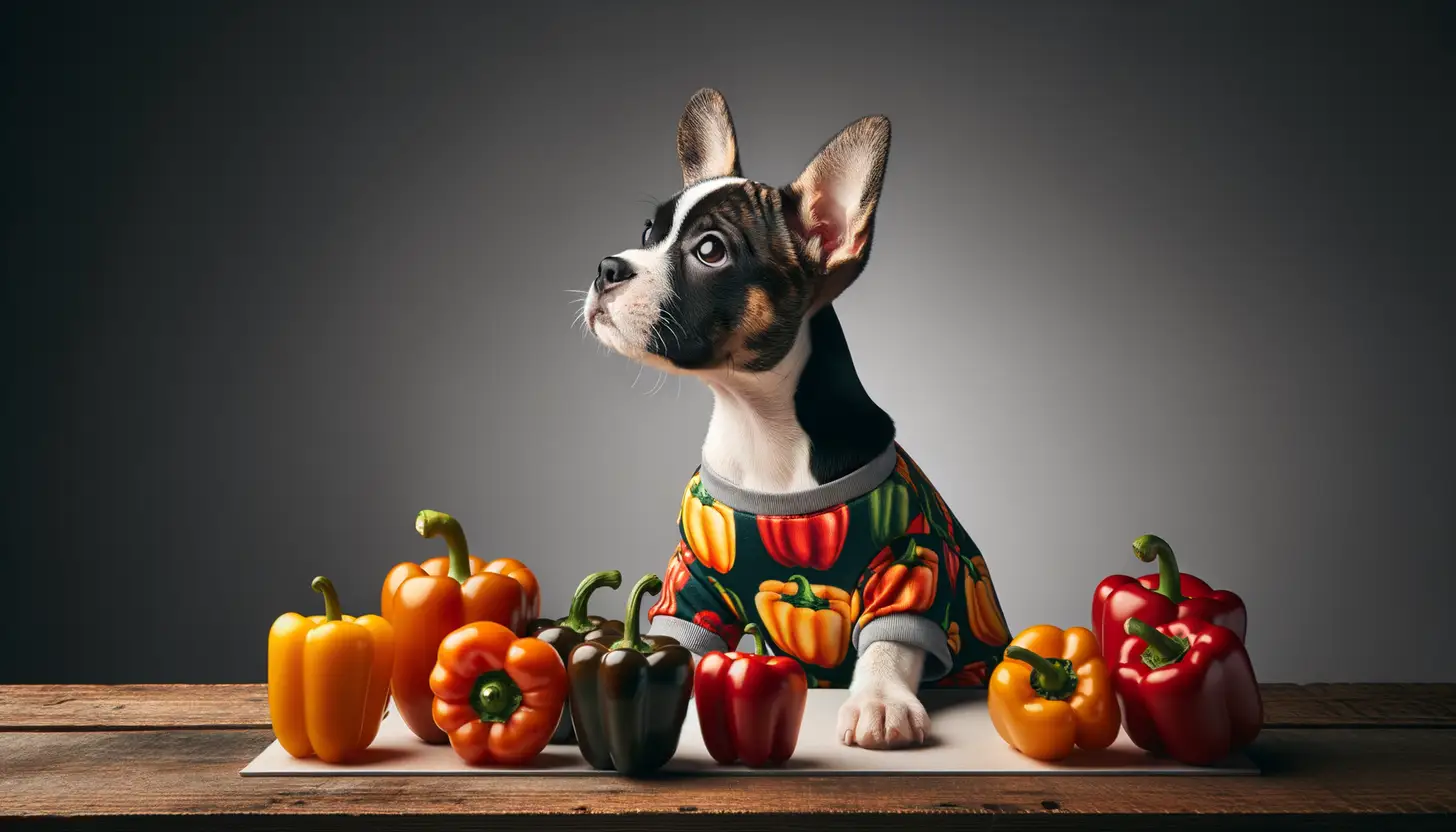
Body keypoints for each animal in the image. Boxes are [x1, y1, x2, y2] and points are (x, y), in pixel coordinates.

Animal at [579, 89, 1013, 746]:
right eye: (648, 231)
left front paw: (880, 701)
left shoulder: (908, 566)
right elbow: (674, 637)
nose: (608, 267)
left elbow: (889, 642)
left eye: (710, 250)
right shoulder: (691, 580)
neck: (760, 425)